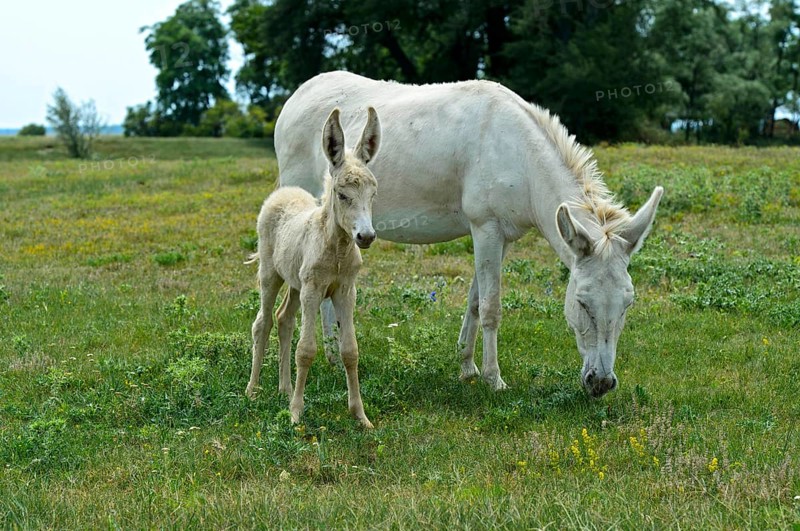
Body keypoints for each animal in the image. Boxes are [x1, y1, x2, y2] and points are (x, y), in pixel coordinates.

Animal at [246, 107, 381, 428]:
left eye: (373, 194)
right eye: (342, 195)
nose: (366, 236)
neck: (338, 251)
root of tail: (283, 193)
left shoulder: (345, 290)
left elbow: (350, 351)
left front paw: (360, 416)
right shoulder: (313, 289)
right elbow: (306, 350)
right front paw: (296, 414)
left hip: (295, 281)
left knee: (283, 318)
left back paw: (283, 388)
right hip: (270, 274)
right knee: (263, 322)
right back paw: (253, 390)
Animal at [275, 71, 663, 398]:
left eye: (628, 304)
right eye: (581, 303)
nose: (602, 384)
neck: (522, 160)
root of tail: (298, 95)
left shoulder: (500, 237)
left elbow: (476, 302)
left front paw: (467, 368)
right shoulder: (485, 226)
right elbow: (492, 307)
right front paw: (494, 379)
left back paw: (332, 354)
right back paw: (330, 356)